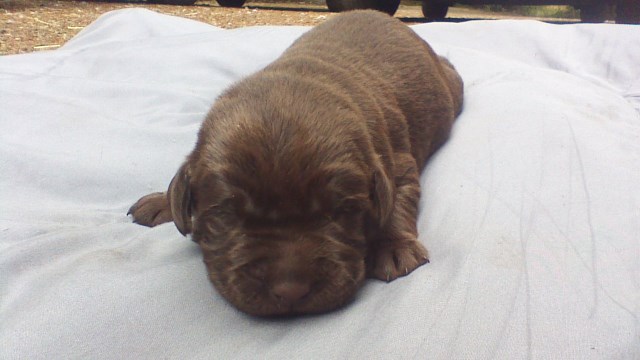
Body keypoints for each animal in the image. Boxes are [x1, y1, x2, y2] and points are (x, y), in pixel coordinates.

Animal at [129, 9, 460, 316]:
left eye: (342, 212)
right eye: (227, 215)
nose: (290, 290)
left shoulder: (398, 162)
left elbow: (397, 202)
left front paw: (393, 246)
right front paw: (162, 200)